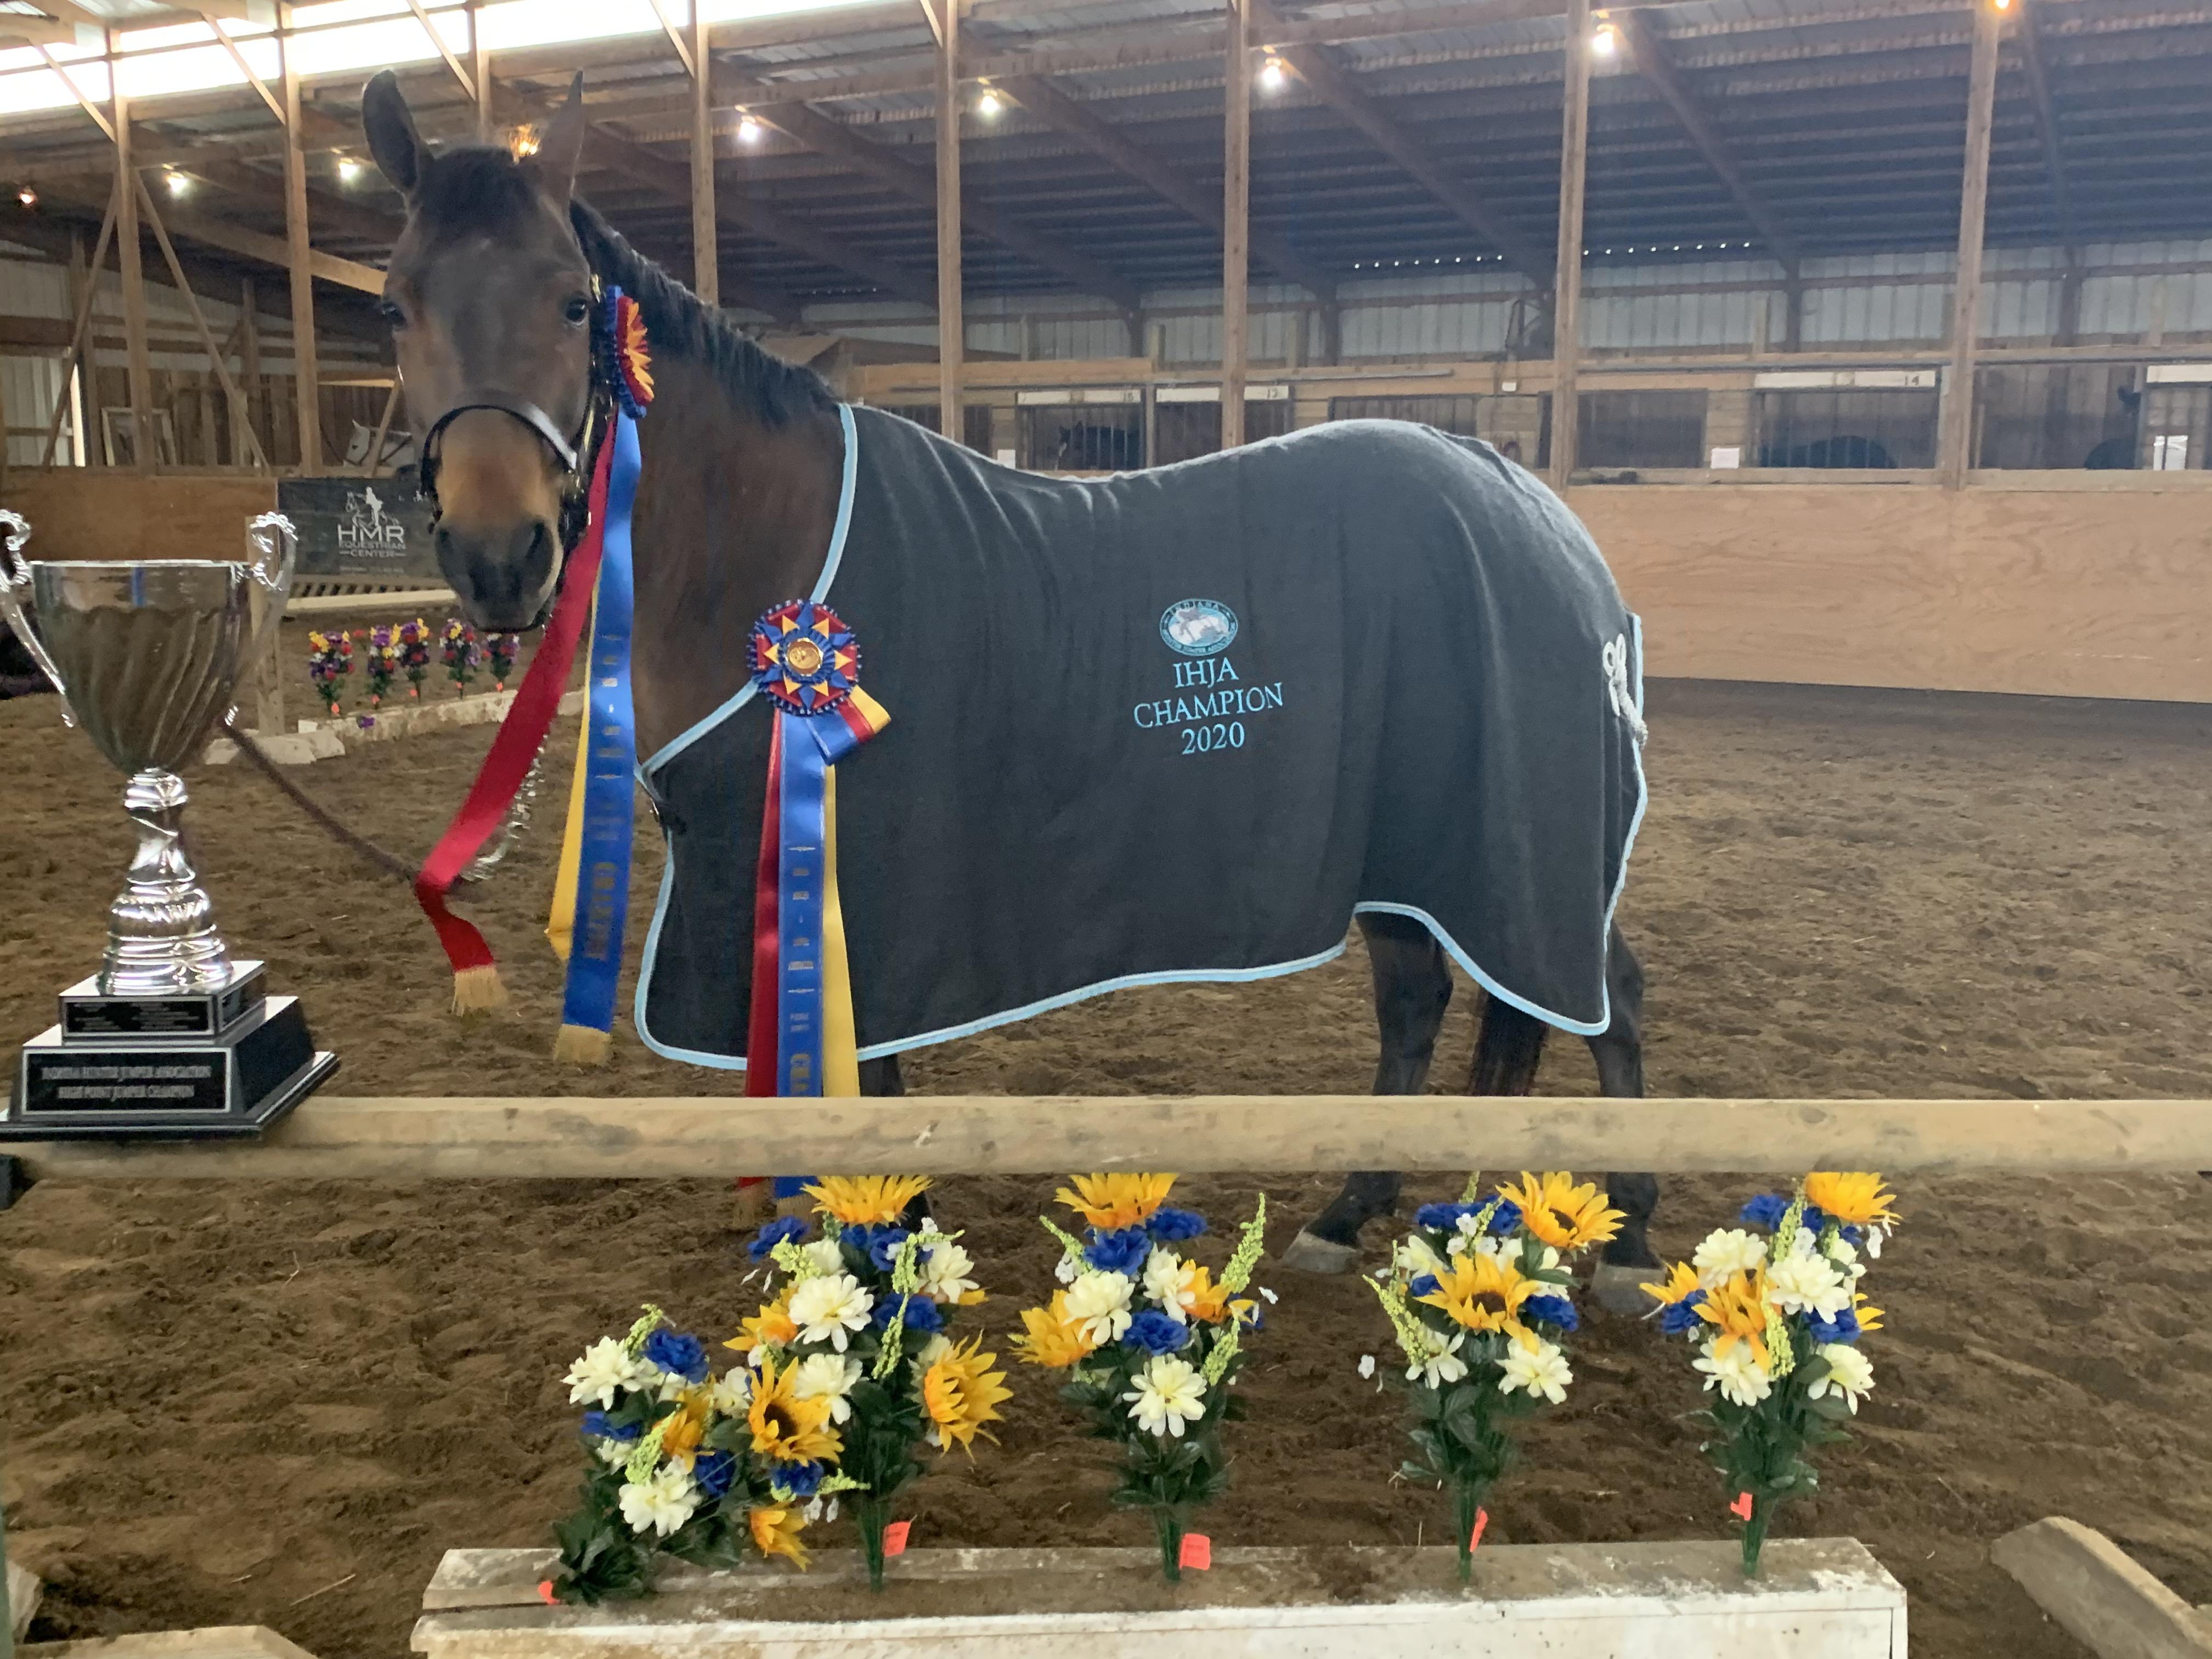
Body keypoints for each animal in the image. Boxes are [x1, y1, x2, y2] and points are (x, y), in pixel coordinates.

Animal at [359, 71, 1661, 1305]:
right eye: (396, 303)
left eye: (573, 301)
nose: (499, 557)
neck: (776, 550)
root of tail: (1532, 501)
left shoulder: (858, 897)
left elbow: (867, 1084)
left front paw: (890, 1258)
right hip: (1408, 851)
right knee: (1419, 1002)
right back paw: (1350, 1213)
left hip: (1512, 855)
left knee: (1607, 992)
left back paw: (1633, 1236)